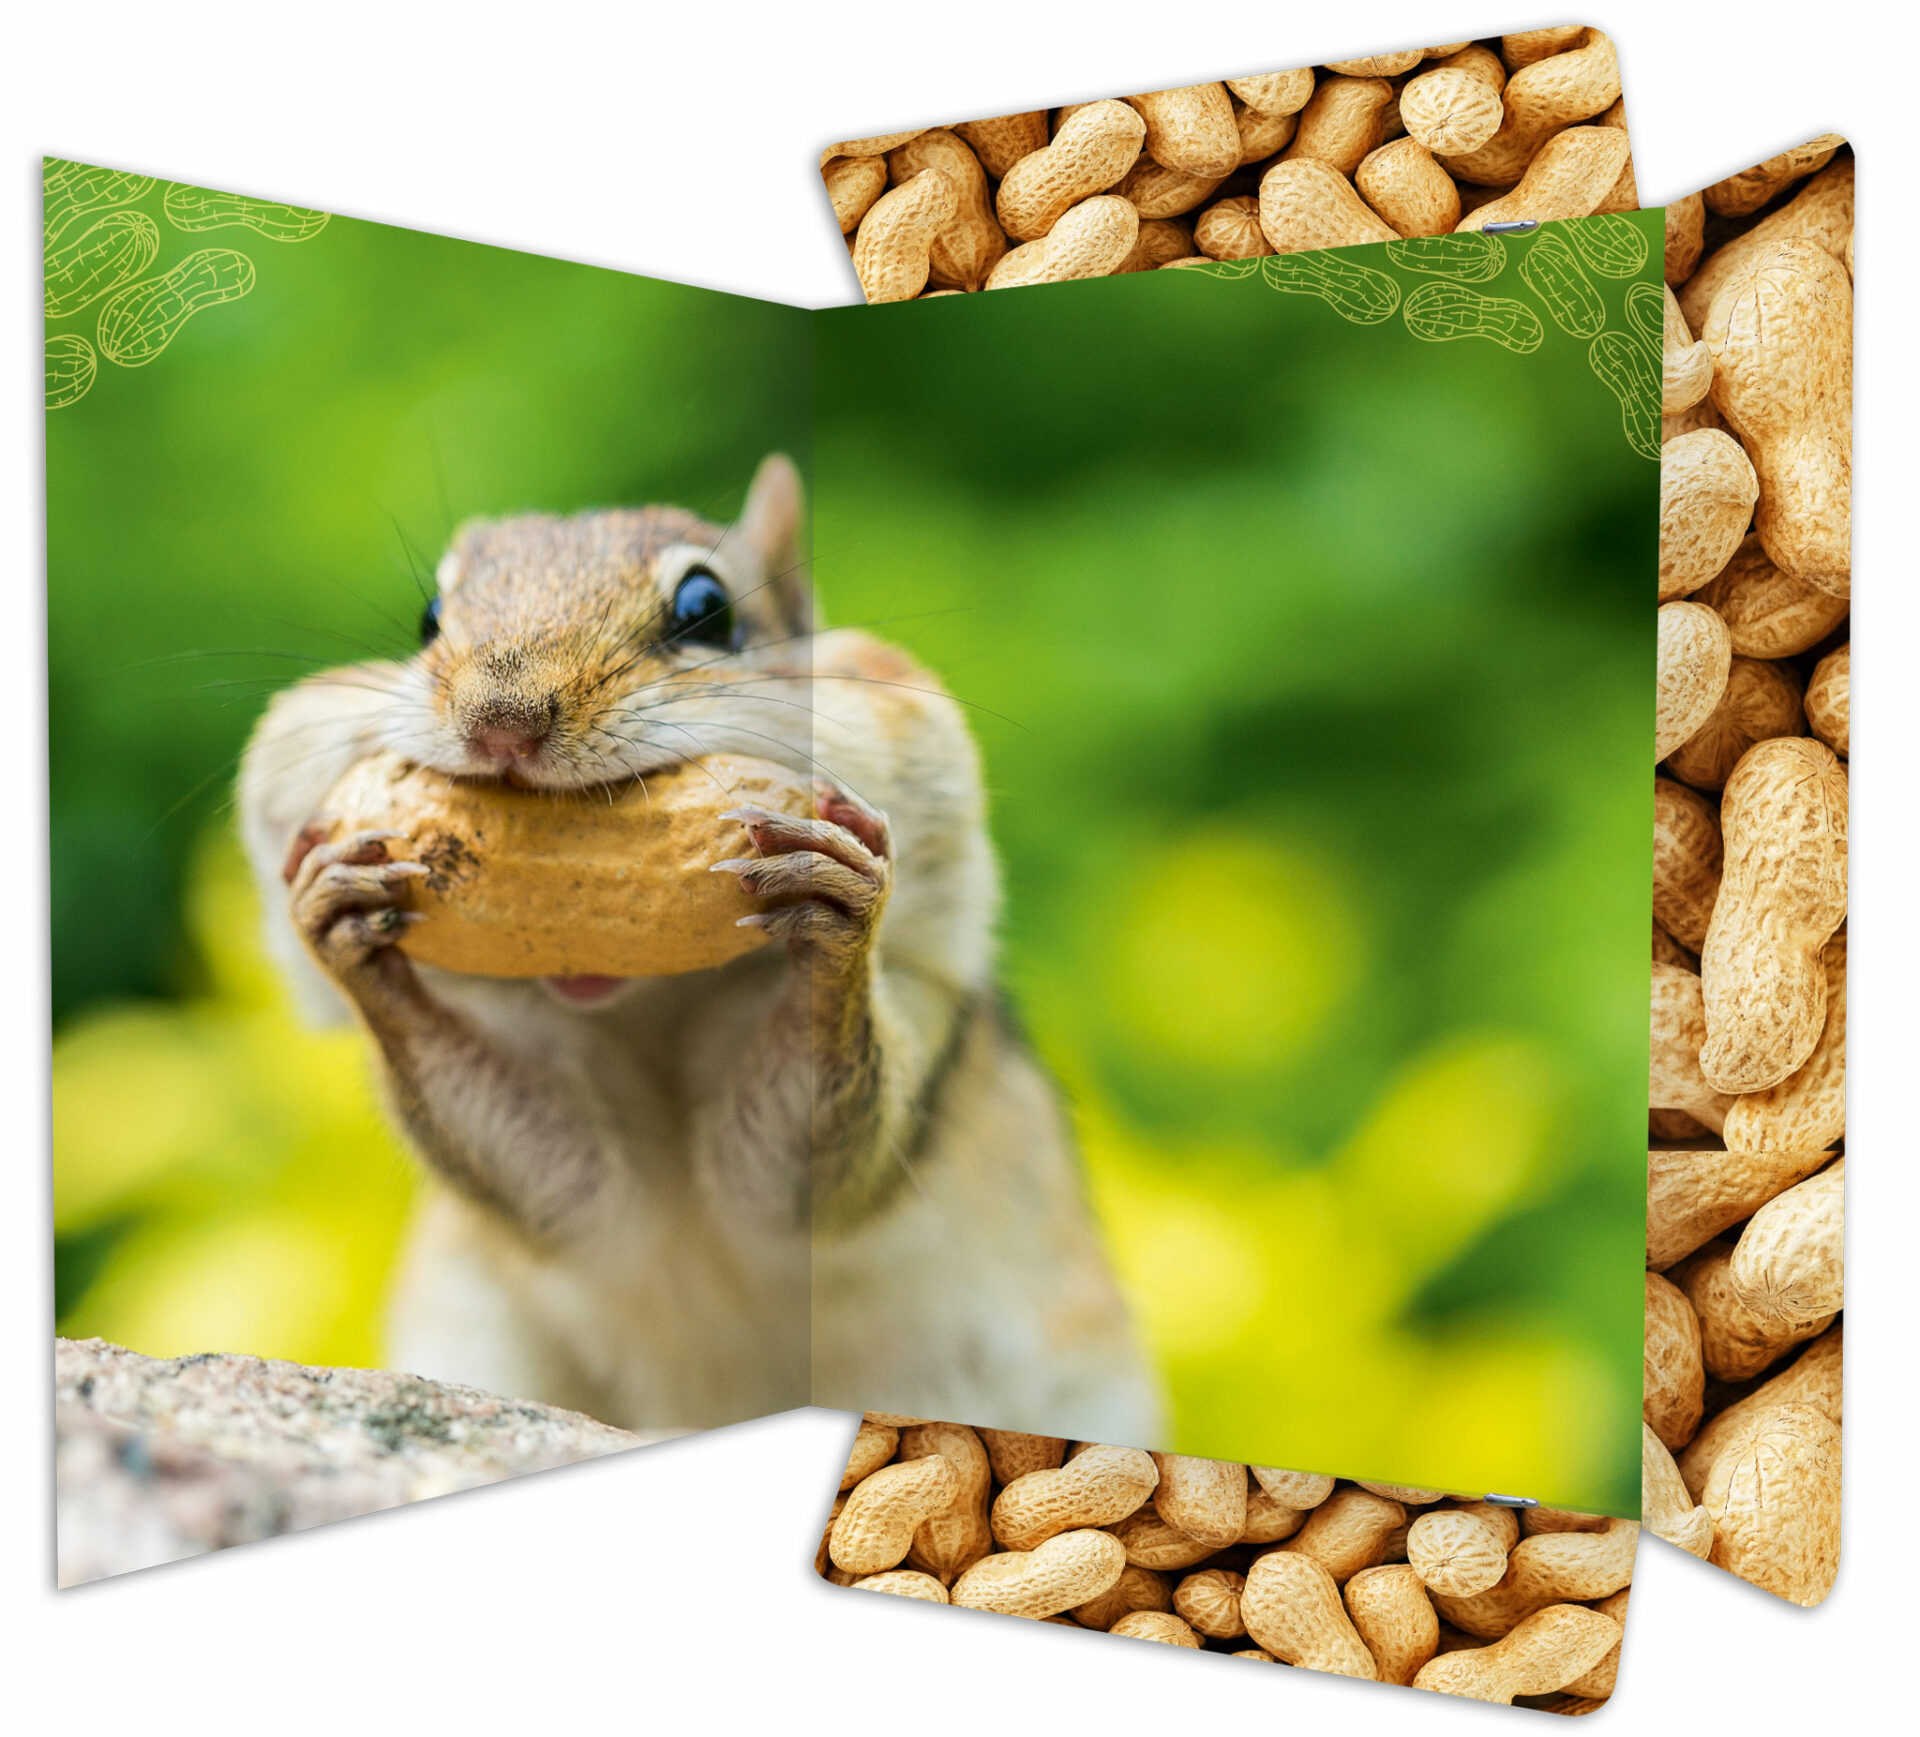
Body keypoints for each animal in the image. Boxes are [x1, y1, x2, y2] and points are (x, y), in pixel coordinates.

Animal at [238, 454, 1162, 1444]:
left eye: (706, 609)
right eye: (428, 618)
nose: (501, 721)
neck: (648, 1003)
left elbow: (800, 1161)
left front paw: (835, 915)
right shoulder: (577, 1189)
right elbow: (547, 1170)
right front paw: (345, 924)